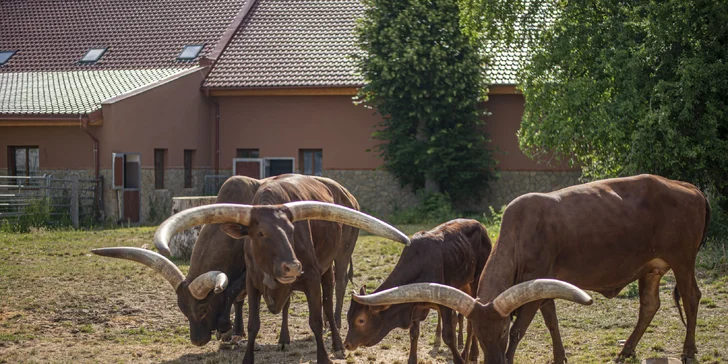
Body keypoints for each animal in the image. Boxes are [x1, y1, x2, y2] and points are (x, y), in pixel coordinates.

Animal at [342, 219, 490, 364]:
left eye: (361, 320)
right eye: (348, 316)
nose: (347, 344)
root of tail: (479, 225)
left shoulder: (445, 304)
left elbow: (448, 335)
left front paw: (459, 359)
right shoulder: (415, 305)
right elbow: (414, 333)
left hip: (475, 282)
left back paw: (469, 353)